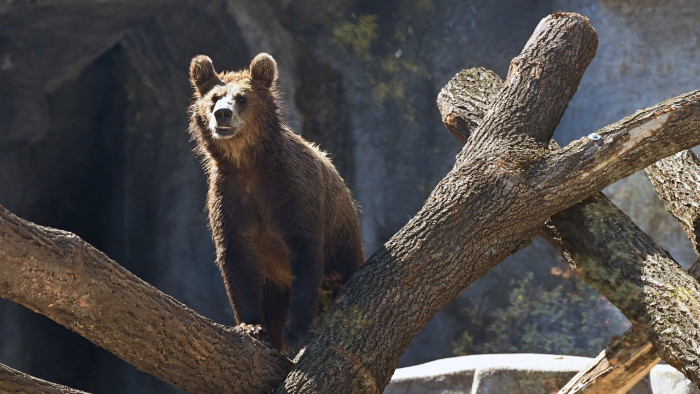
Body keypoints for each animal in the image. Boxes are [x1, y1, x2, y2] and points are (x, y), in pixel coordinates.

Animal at [189, 53, 364, 354]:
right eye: (214, 97)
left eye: (242, 98)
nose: (222, 113)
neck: (248, 166)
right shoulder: (230, 200)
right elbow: (236, 259)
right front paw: (252, 326)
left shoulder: (293, 193)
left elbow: (305, 253)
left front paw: (296, 332)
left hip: (344, 247)